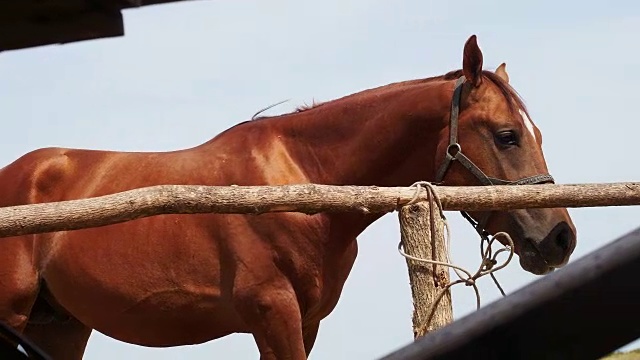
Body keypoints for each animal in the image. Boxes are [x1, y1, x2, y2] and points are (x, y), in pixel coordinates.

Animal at [0, 34, 576, 360]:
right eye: (507, 135)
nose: (560, 237)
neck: (303, 183)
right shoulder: (272, 311)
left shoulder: (306, 320)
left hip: (61, 327)